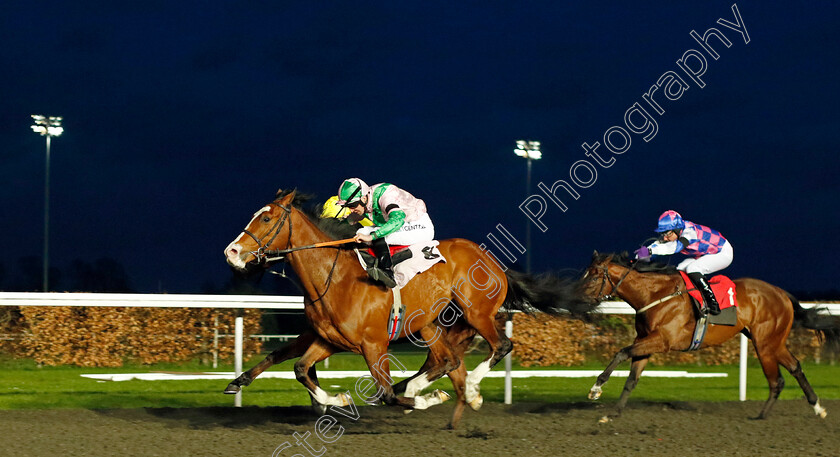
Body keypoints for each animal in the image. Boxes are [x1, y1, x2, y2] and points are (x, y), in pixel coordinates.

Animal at [225, 190, 592, 428]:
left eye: (266, 217)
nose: (231, 252)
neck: (335, 277)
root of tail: (493, 261)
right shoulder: (329, 340)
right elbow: (300, 368)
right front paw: (339, 399)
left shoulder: (374, 345)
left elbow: (385, 393)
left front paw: (428, 400)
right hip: (433, 324)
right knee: (448, 360)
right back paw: (451, 397)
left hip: (476, 313)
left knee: (498, 346)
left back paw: (468, 388)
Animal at [576, 251, 840, 418]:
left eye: (595, 276)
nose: (574, 298)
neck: (654, 295)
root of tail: (782, 293)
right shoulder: (645, 341)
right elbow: (632, 379)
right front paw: (613, 414)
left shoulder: (661, 341)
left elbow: (621, 352)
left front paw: (596, 388)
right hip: (773, 341)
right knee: (795, 367)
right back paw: (818, 408)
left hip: (765, 343)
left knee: (777, 380)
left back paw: (761, 417)